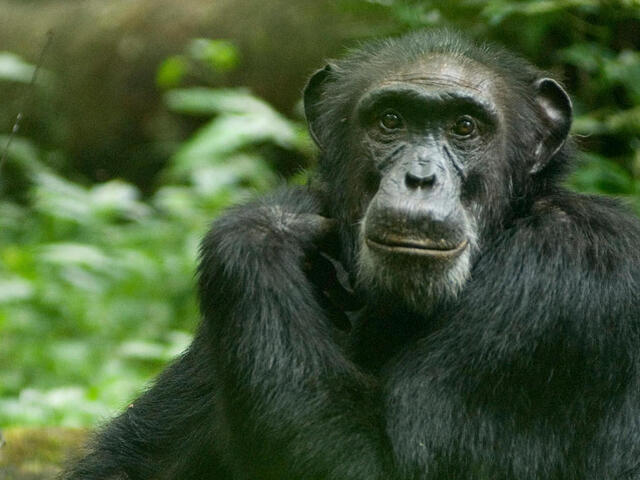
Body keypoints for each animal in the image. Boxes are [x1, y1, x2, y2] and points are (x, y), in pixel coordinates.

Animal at [62, 30, 640, 480]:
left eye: (464, 127)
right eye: (390, 120)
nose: (420, 177)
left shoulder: (562, 280)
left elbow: (378, 466)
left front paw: (267, 224)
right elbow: (135, 464)